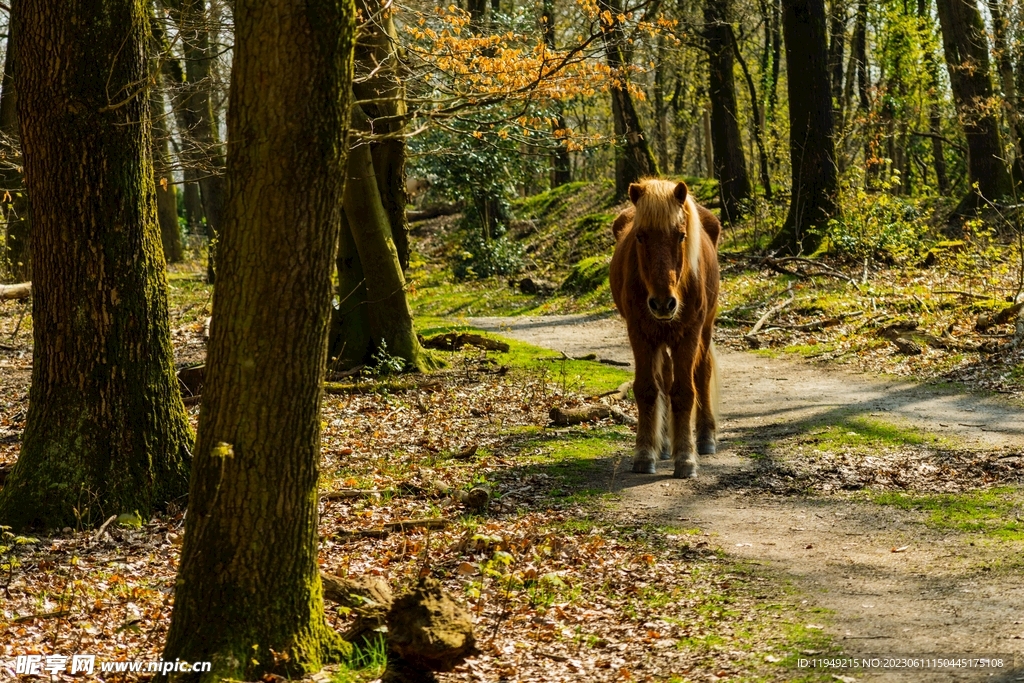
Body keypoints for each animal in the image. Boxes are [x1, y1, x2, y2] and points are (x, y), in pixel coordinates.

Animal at [606, 179, 720, 479]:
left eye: (681, 236)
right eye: (640, 236)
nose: (662, 303)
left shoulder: (689, 334)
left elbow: (685, 392)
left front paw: (687, 458)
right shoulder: (640, 334)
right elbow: (647, 389)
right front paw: (645, 454)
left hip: (704, 330)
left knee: (702, 373)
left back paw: (706, 438)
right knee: (666, 378)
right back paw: (667, 444)